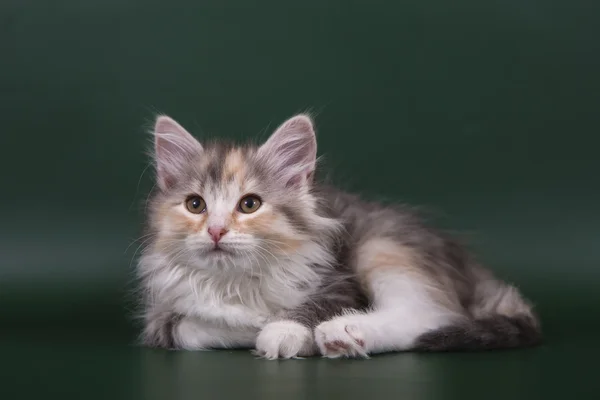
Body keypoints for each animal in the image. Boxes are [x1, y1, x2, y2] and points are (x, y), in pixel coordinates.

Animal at [138, 113, 540, 360]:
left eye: (249, 204)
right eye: (195, 205)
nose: (216, 230)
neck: (235, 282)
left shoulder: (338, 280)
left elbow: (303, 310)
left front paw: (280, 330)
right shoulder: (161, 315)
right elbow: (192, 329)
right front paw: (255, 326)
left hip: (381, 245)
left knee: (432, 316)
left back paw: (344, 332)